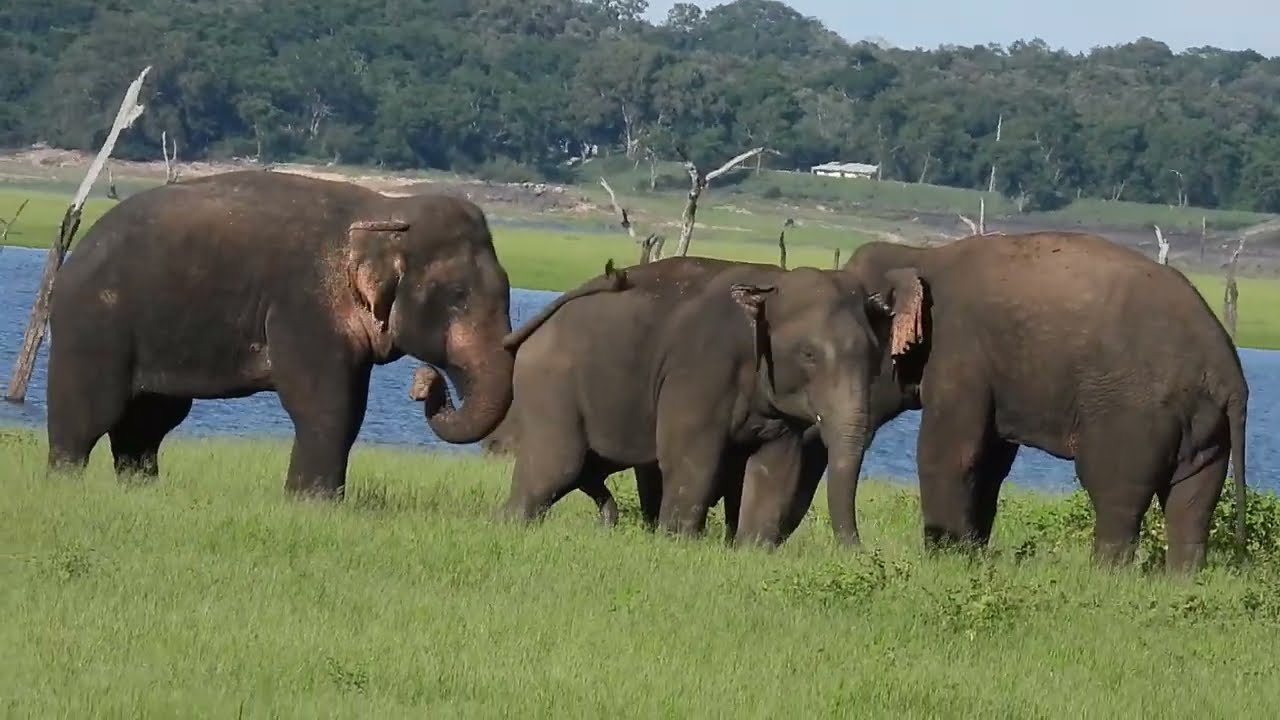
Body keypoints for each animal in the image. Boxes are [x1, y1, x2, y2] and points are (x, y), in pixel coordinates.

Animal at [46, 169, 515, 498]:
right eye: (457, 297)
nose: (424, 383)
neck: (385, 209)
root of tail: (75, 254)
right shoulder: (302, 308)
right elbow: (326, 405)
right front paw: (313, 503)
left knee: (149, 423)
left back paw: (141, 489)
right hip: (92, 327)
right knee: (89, 416)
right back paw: (64, 483)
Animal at [420, 255, 893, 547]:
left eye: (875, 355)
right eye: (810, 354)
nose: (861, 551)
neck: (770, 285)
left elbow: (777, 467)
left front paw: (751, 550)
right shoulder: (699, 371)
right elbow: (692, 459)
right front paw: (678, 543)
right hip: (552, 387)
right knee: (557, 468)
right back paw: (509, 524)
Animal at [823, 230, 1250, 573]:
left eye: (863, 356)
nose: (862, 551)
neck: (921, 256)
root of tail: (1229, 371)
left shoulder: (960, 351)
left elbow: (949, 453)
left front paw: (942, 558)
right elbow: (990, 462)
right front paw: (970, 555)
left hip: (1135, 415)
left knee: (1115, 490)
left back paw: (1105, 576)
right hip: (1208, 426)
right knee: (1193, 500)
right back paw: (1181, 579)